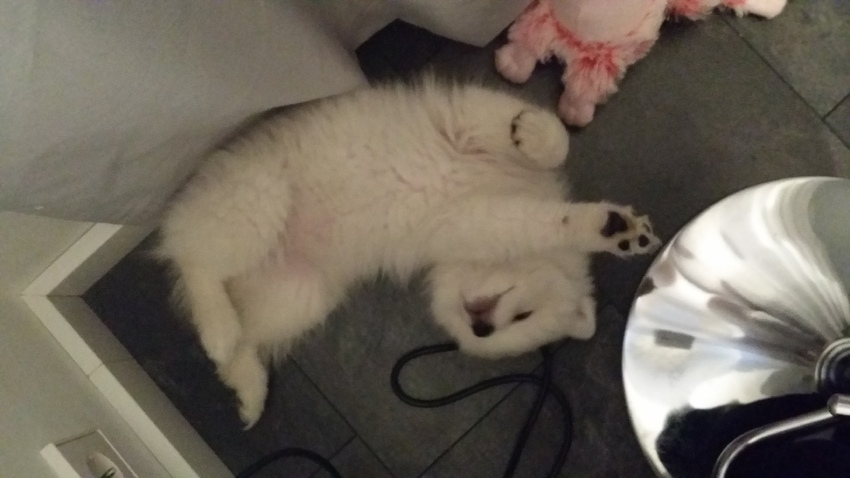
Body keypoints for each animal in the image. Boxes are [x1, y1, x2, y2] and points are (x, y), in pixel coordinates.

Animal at [156, 77, 661, 427]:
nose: (480, 329)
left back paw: (248, 389)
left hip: (302, 294)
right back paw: (219, 329)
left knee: (240, 330)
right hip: (260, 201)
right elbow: (553, 150)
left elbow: (536, 221)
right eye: (523, 316)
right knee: (196, 262)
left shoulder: (466, 224)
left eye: (513, 328)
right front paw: (612, 226)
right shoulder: (472, 126)